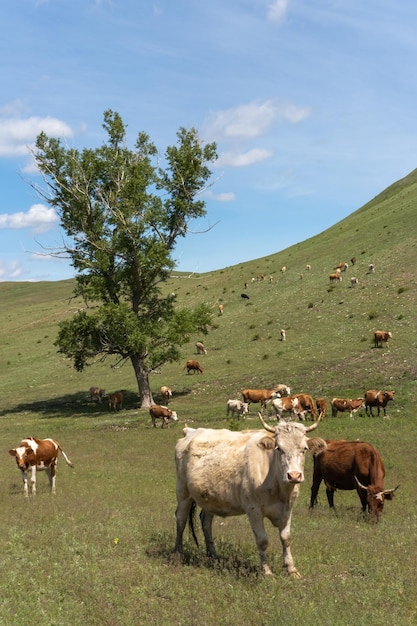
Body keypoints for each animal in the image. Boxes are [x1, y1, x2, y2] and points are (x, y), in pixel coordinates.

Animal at [172, 412, 324, 572]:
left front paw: (291, 569)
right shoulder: (253, 510)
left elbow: (286, 538)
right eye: (278, 448)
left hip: (210, 498)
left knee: (206, 522)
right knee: (181, 519)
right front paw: (266, 571)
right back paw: (177, 554)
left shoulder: (288, 509)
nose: (294, 475)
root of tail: (190, 431)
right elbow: (262, 540)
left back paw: (213, 556)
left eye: (304, 449)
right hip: (183, 492)